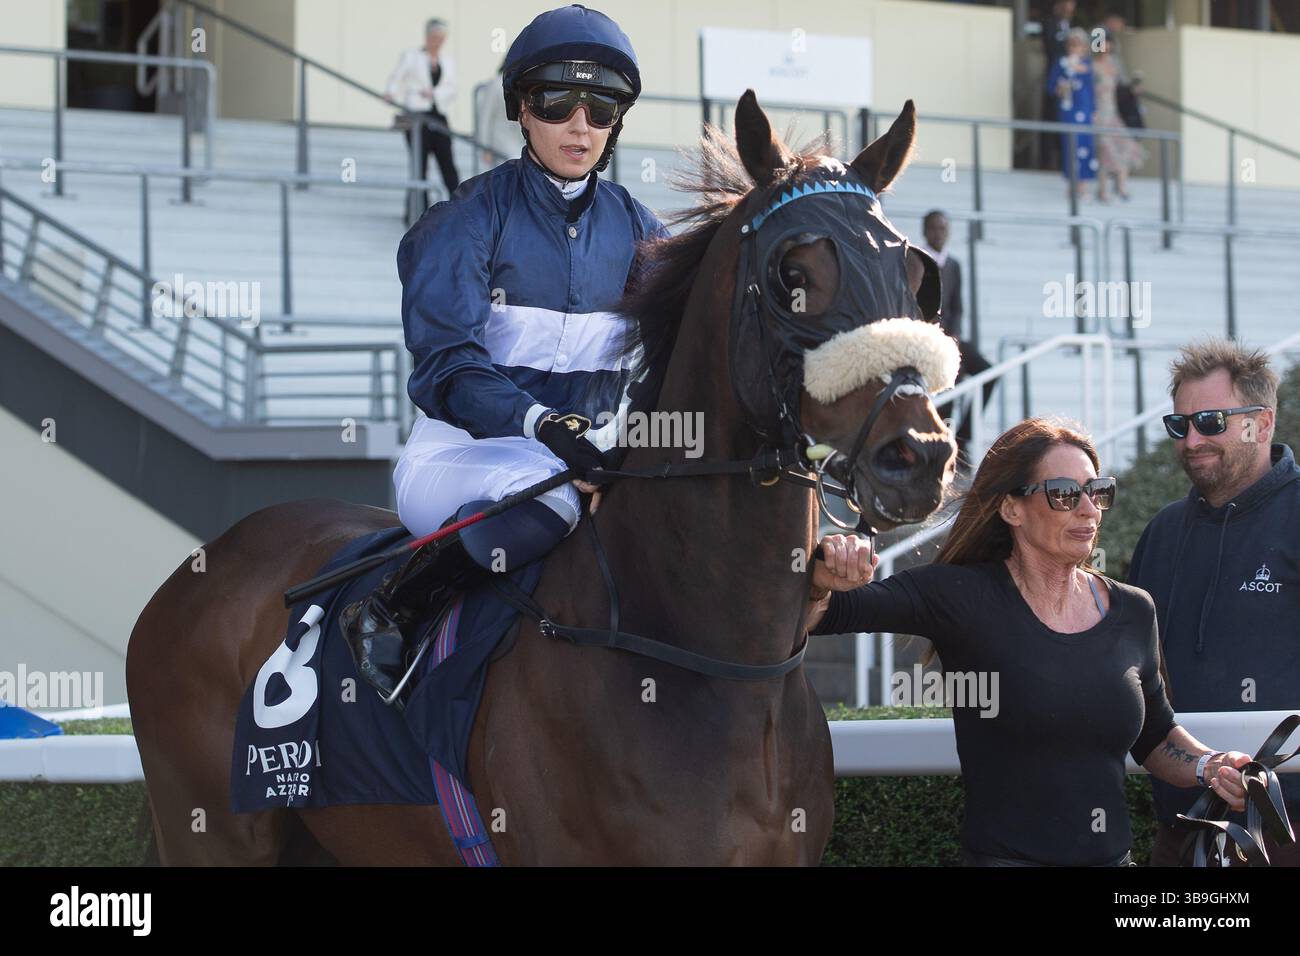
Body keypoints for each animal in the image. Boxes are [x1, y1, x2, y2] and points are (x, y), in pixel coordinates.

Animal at [126, 91, 957, 865]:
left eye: (917, 274)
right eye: (793, 273)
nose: (917, 455)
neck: (718, 665)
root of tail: (200, 565)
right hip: (210, 829)